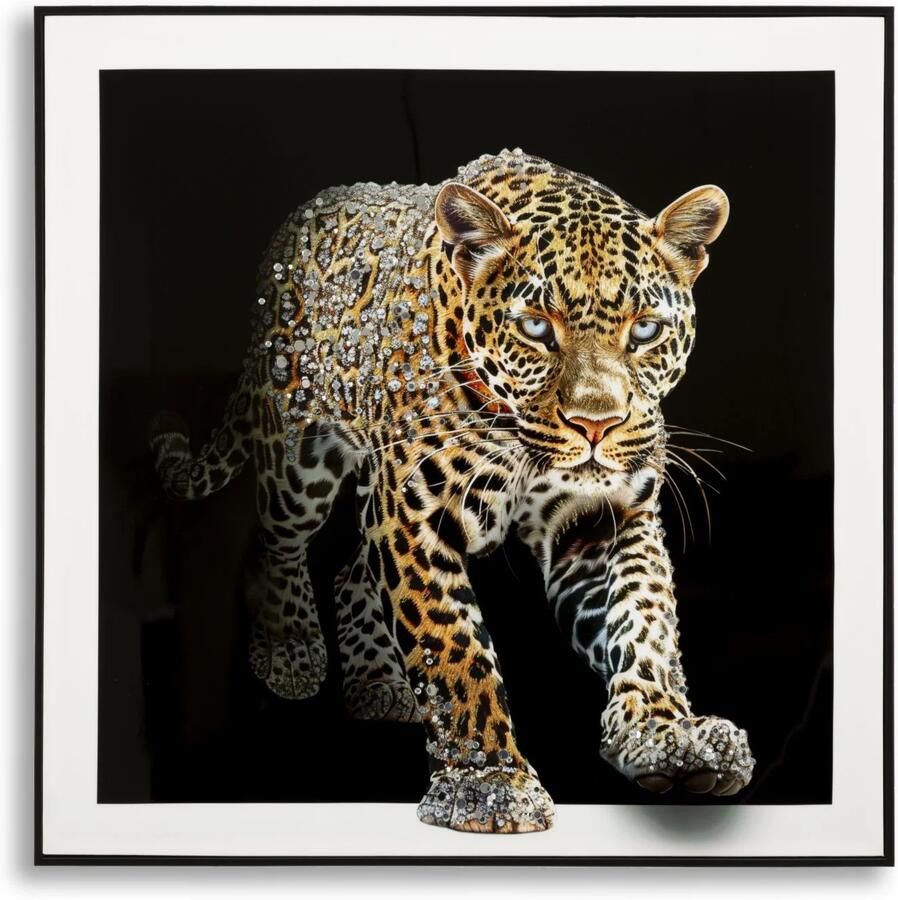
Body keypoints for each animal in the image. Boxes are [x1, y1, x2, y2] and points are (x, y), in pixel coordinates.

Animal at [151, 149, 755, 834]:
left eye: (647, 330)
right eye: (536, 327)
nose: (596, 425)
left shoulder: (604, 518)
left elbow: (644, 619)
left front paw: (667, 737)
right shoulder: (414, 515)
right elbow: (453, 648)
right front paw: (487, 782)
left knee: (351, 569)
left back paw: (379, 683)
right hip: (297, 459)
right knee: (274, 542)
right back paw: (291, 649)